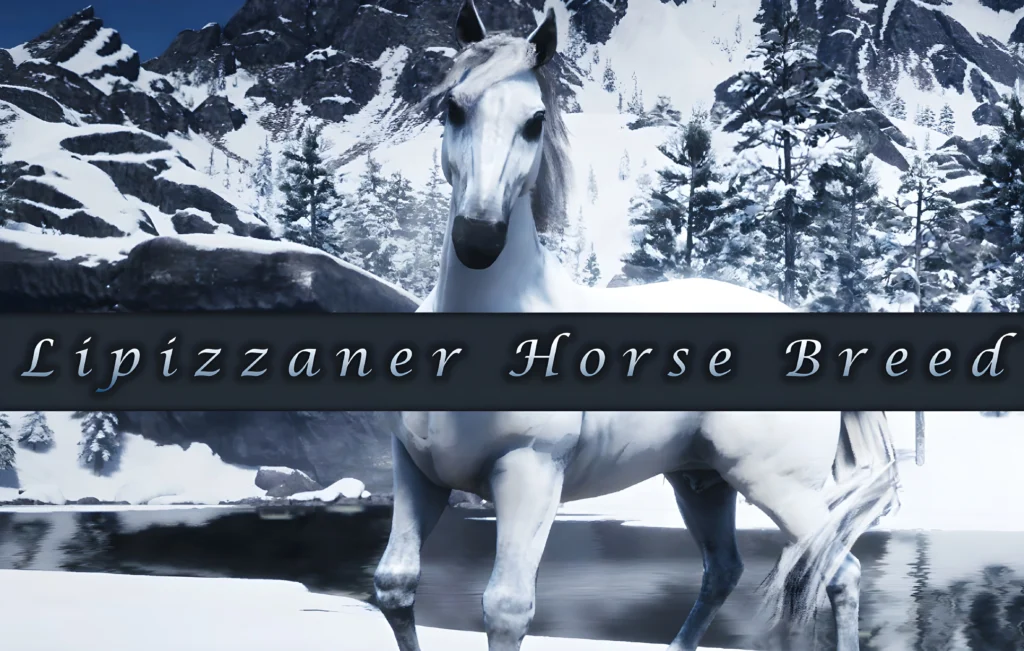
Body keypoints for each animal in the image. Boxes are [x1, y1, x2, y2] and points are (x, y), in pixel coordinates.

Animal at [372, 3, 902, 650]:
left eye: (535, 121)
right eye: (453, 106)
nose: (478, 240)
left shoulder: (529, 474)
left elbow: (506, 607)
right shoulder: (416, 471)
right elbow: (396, 585)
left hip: (782, 489)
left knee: (839, 572)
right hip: (702, 483)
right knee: (723, 570)